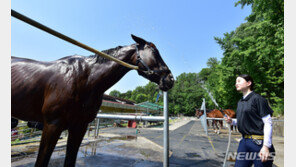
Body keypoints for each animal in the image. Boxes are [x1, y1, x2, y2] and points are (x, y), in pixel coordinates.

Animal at [11, 34, 173, 166]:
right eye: (154, 52)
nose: (170, 79)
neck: (85, 78)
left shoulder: (80, 126)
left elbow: (70, 161)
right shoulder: (52, 124)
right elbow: (41, 162)